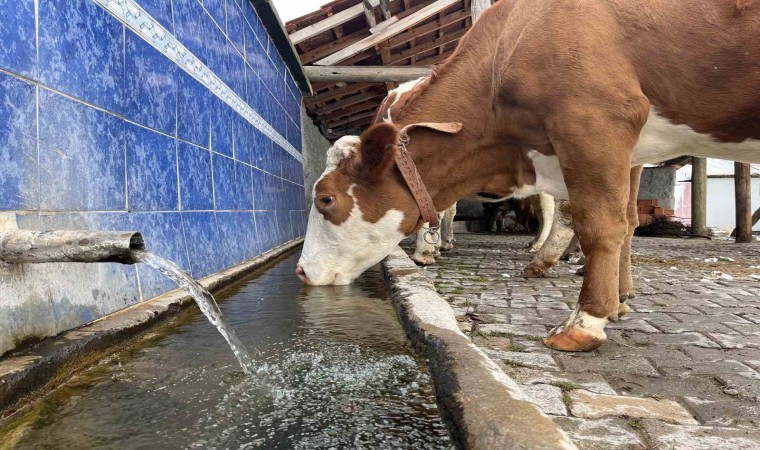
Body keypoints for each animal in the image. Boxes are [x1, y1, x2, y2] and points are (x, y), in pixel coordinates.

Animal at [297, 0, 760, 352]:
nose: (300, 272)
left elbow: (600, 223)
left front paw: (585, 322)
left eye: (326, 198)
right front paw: (617, 303)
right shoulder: (626, 151)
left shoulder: (594, 120)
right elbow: (626, 221)